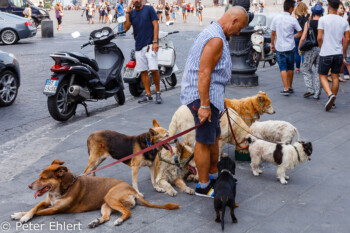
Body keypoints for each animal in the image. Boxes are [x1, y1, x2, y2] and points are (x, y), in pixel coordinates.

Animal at [10, 160, 179, 228]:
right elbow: (34, 208)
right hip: (106, 204)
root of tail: (133, 190)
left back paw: (119, 221)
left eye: (43, 178)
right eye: (39, 176)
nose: (29, 185)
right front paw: (21, 214)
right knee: (107, 216)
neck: (62, 188)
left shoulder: (55, 209)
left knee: (127, 212)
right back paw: (96, 222)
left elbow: (39, 212)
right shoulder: (46, 202)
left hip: (110, 197)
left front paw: (23, 217)